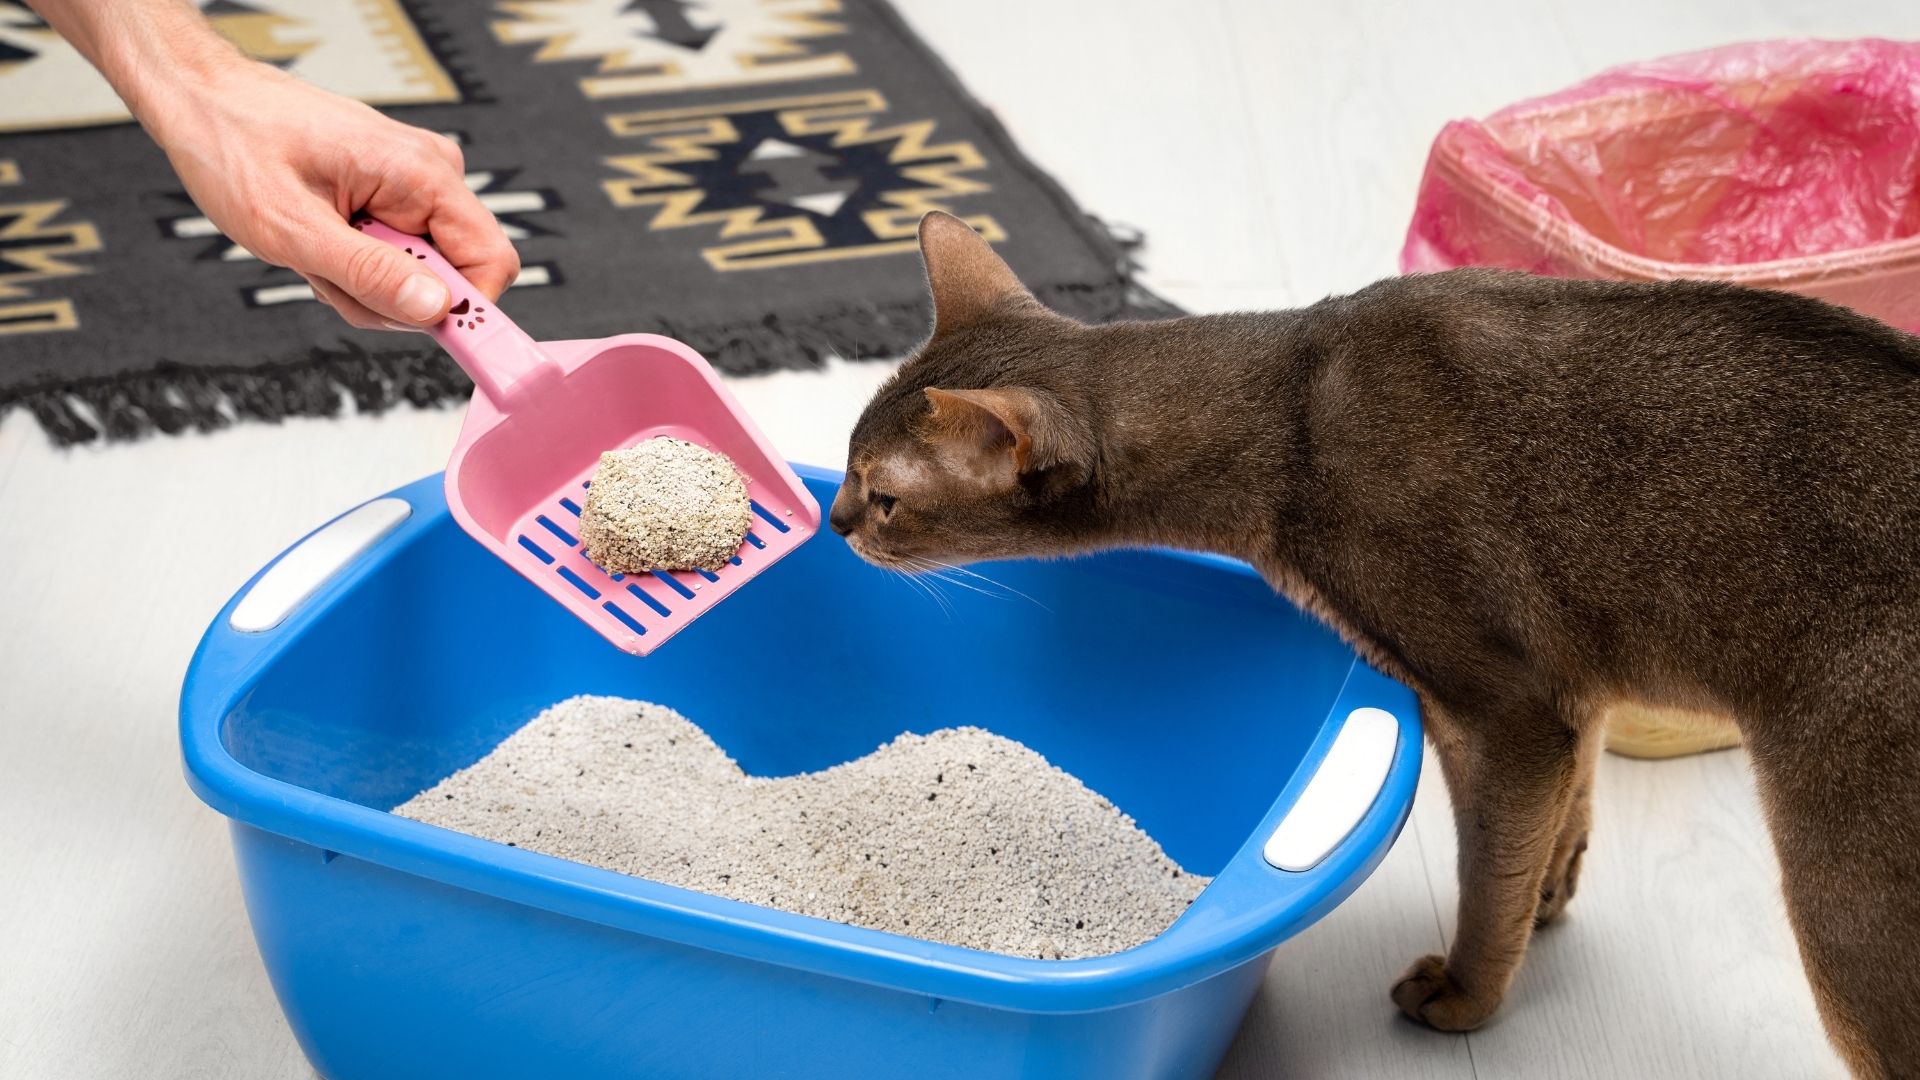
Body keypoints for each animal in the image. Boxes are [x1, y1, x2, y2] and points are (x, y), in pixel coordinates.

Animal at [833, 212, 1920, 1076]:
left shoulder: (1502, 709)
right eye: (846, 466)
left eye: (885, 498)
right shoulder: (1570, 689)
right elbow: (1565, 811)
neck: (1290, 410)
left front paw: (1469, 993)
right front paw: (1553, 892)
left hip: (1848, 890)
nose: (836, 523)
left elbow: (1486, 874)